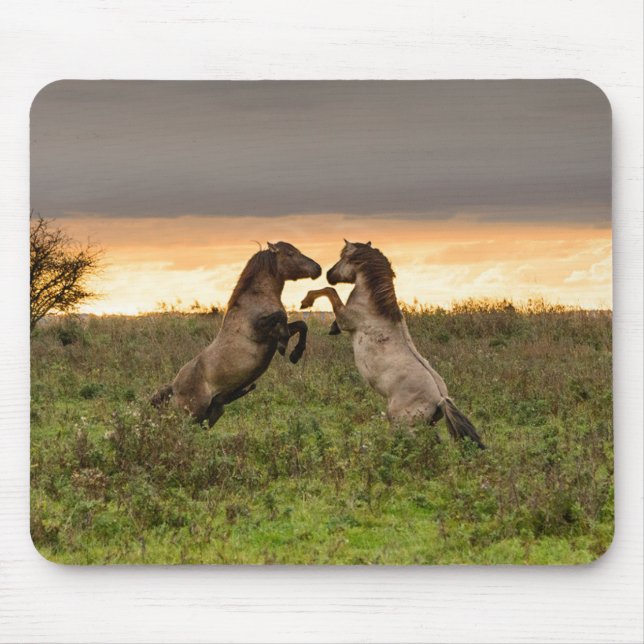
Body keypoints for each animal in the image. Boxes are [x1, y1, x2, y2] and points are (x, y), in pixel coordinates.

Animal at [152, 242, 321, 426]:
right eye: (290, 253)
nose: (317, 268)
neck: (257, 299)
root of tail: (173, 389)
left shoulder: (273, 333)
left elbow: (302, 325)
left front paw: (295, 354)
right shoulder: (260, 331)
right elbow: (281, 317)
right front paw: (284, 346)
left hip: (212, 414)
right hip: (191, 415)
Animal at [301, 240, 484, 448]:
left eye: (344, 257)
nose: (329, 274)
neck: (372, 306)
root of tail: (441, 399)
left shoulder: (346, 319)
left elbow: (330, 292)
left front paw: (306, 302)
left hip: (401, 423)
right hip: (426, 425)